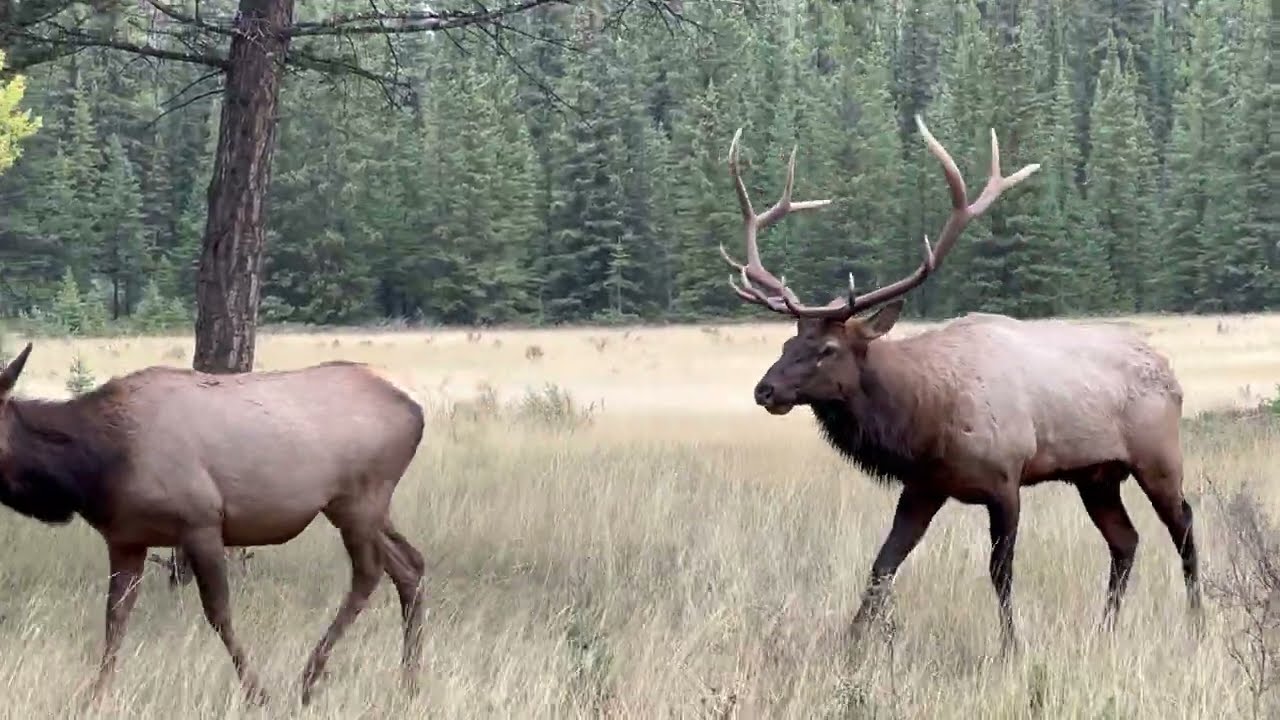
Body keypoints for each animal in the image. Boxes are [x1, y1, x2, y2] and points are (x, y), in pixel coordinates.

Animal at [0, 345, 427, 706]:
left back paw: (310, 678)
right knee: (410, 565)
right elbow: (115, 618)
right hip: (363, 509)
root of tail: (418, 410)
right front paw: (95, 695)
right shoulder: (125, 540)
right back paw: (409, 682)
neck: (93, 471)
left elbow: (219, 613)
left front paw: (257, 693)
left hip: (358, 500)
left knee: (370, 571)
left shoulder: (201, 522)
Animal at [718, 115, 1201, 654]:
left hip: (1158, 457)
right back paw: (1105, 629)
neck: (928, 419)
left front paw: (1011, 646)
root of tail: (1172, 373)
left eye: (828, 350)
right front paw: (851, 643)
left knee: (1184, 526)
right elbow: (882, 565)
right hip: (1095, 475)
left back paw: (1197, 624)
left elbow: (1000, 572)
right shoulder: (923, 486)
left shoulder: (1006, 480)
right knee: (1126, 540)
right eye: (787, 342)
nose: (765, 390)